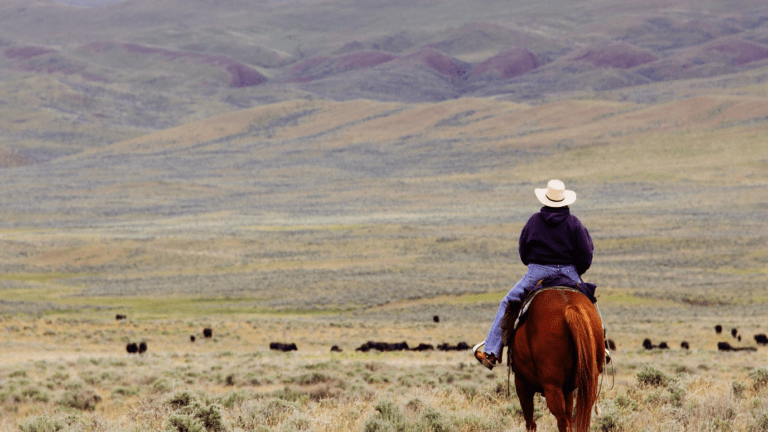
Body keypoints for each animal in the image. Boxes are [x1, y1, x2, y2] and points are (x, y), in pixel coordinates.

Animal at [504, 286, 608, 432]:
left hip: (551, 386)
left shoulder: (522, 382)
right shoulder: (568, 389)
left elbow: (530, 421)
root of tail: (570, 307)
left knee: (562, 420)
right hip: (590, 381)